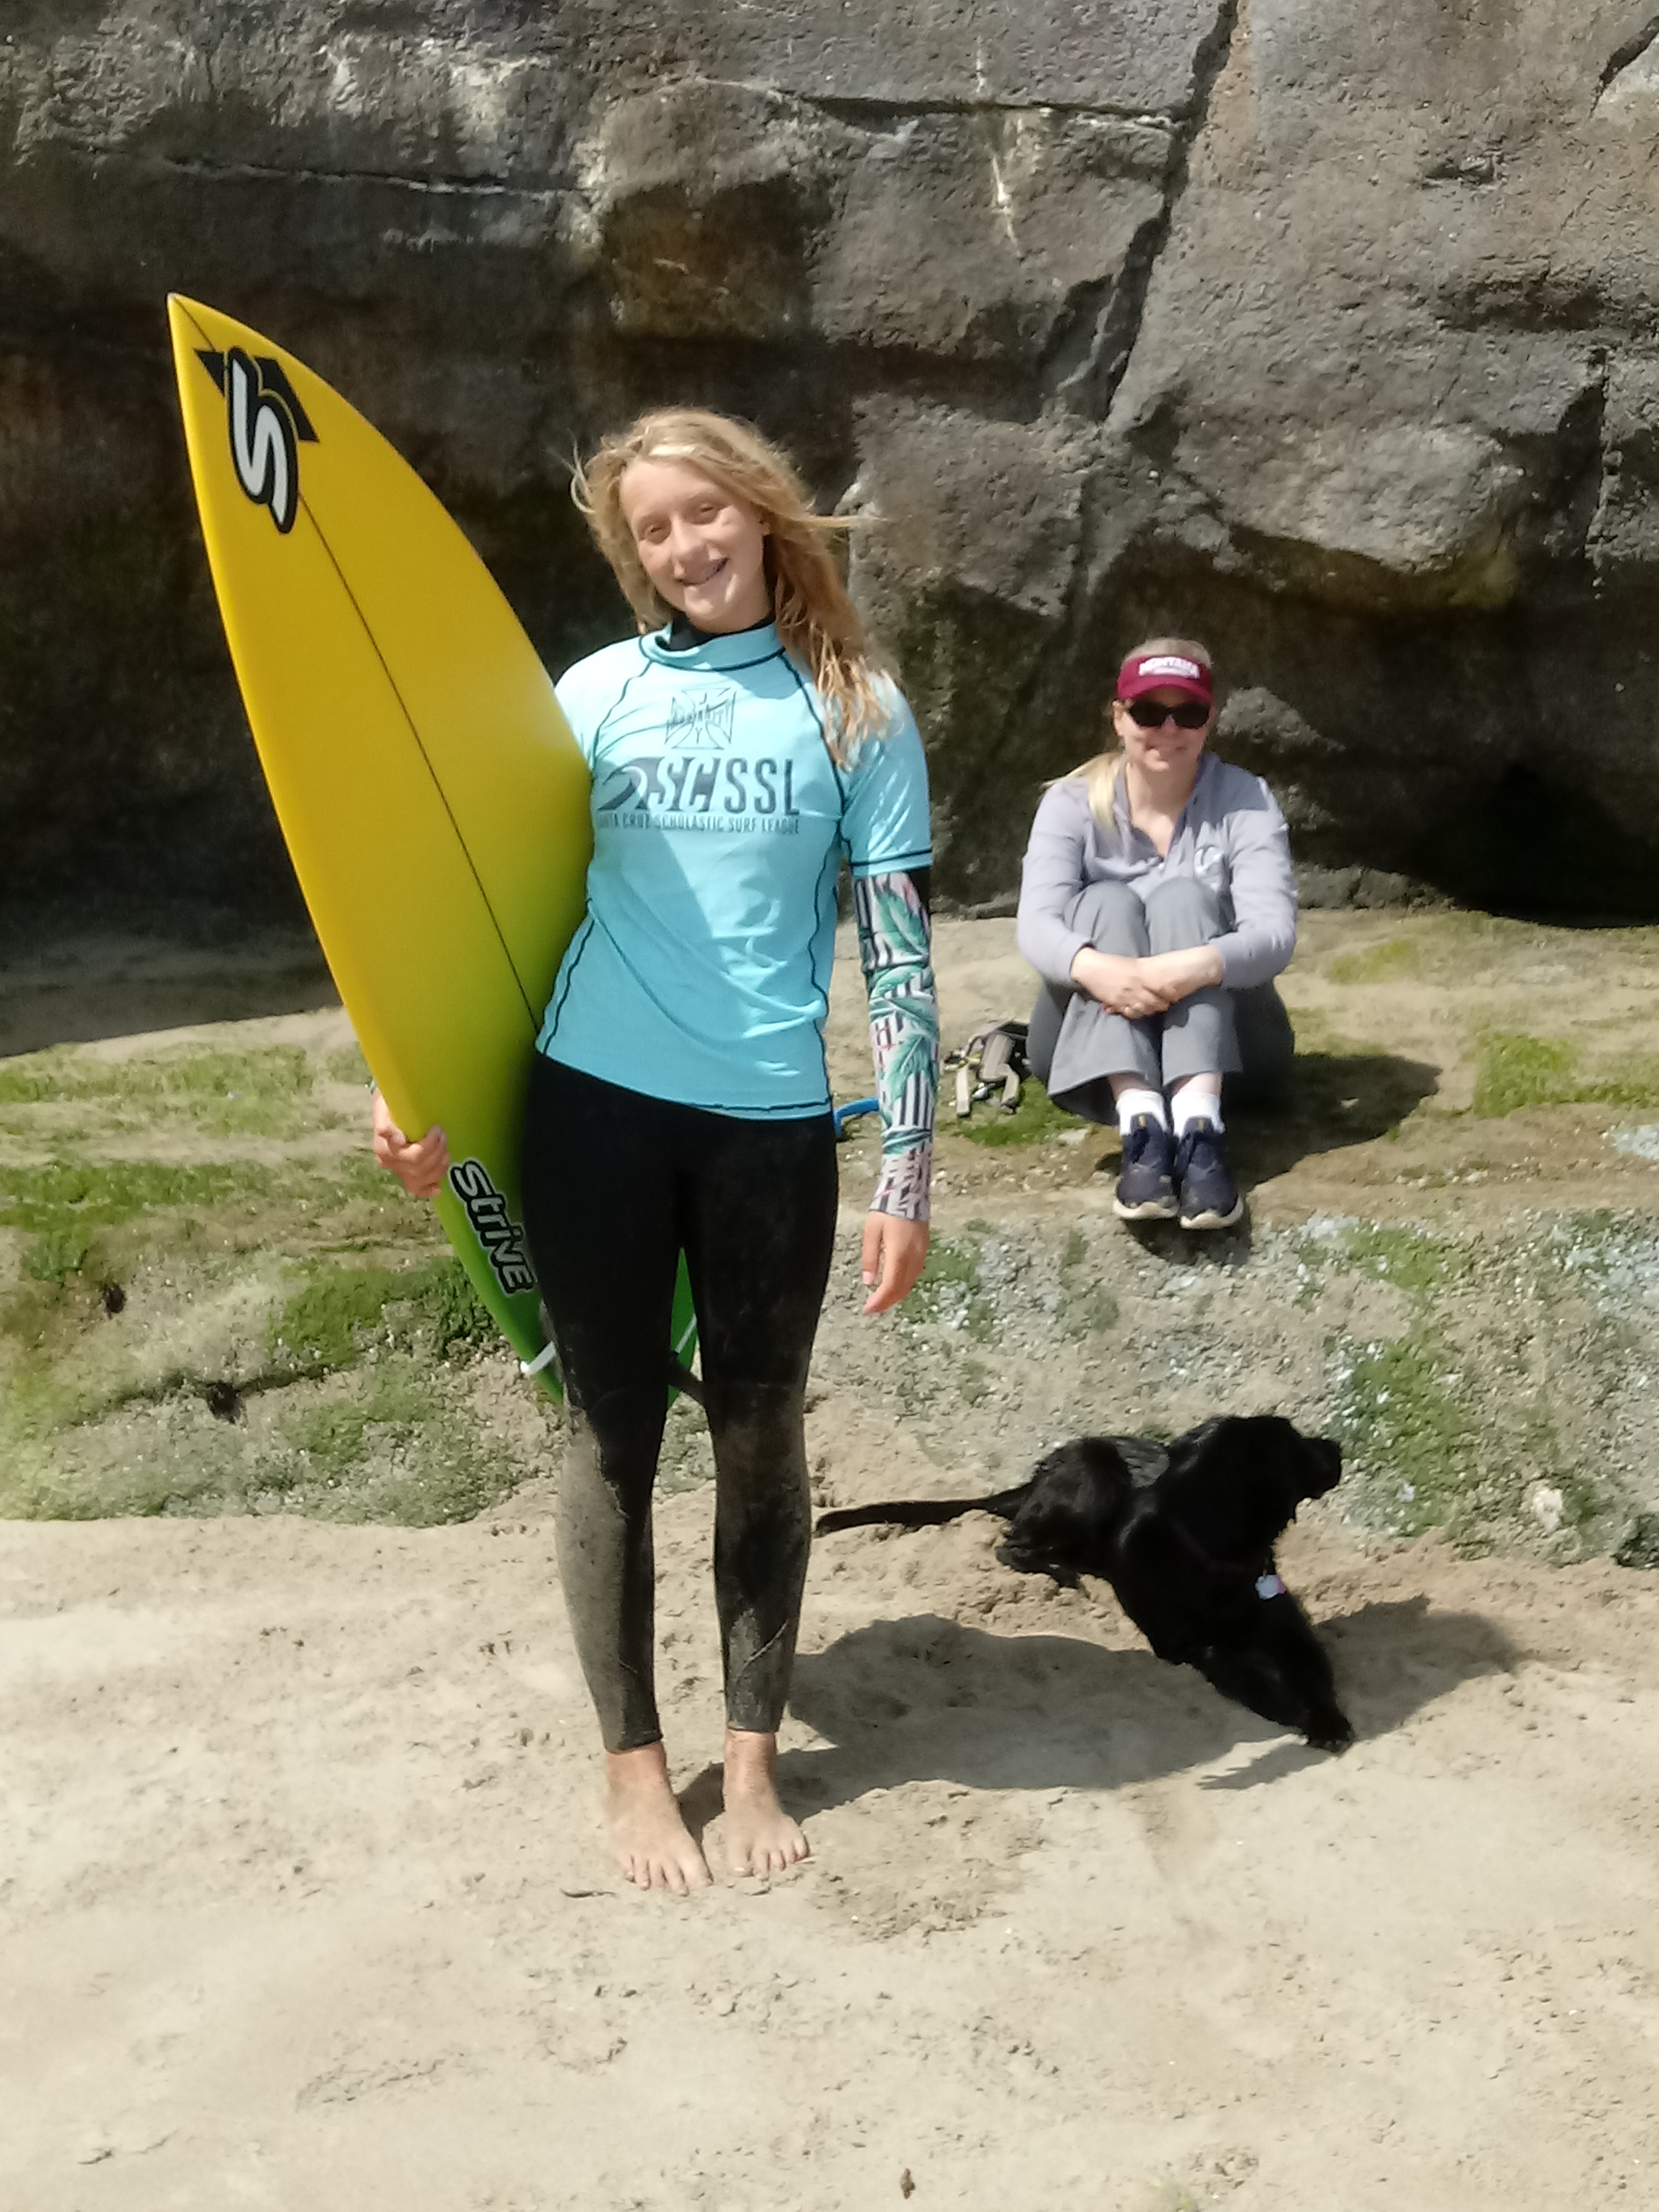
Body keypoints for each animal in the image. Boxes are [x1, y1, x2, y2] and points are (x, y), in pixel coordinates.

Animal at [816, 1415, 1353, 1753]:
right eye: (1295, 1442)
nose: (1339, 1446)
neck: (1216, 1552)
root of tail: (1034, 1481)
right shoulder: (1197, 1649)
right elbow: (1260, 1683)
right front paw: (1304, 1718)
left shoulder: (1288, 1630)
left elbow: (1313, 1674)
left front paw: (1328, 1718)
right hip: (1096, 1471)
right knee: (1010, 1546)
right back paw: (1064, 1576)